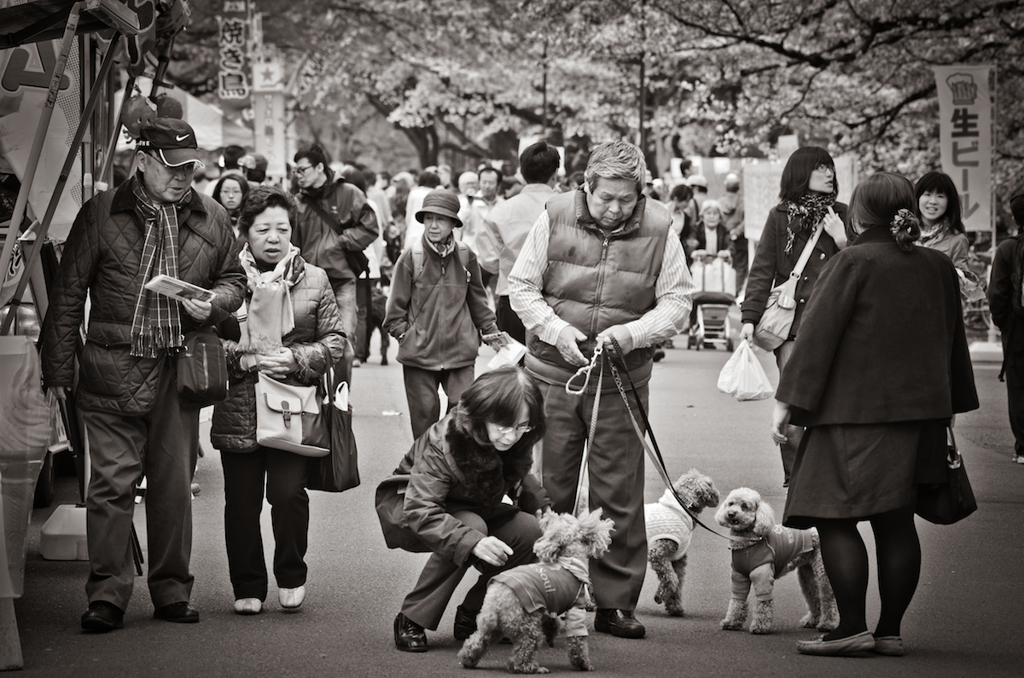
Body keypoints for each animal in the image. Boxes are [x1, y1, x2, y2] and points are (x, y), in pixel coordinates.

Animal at [716, 489, 835, 639]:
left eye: (744, 506)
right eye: (731, 504)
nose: (731, 514)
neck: (747, 543)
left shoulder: (762, 577)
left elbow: (763, 603)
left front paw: (760, 627)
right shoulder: (739, 576)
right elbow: (737, 600)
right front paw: (731, 622)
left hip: (822, 572)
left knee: (827, 598)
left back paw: (827, 624)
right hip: (807, 574)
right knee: (813, 595)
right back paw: (811, 621)